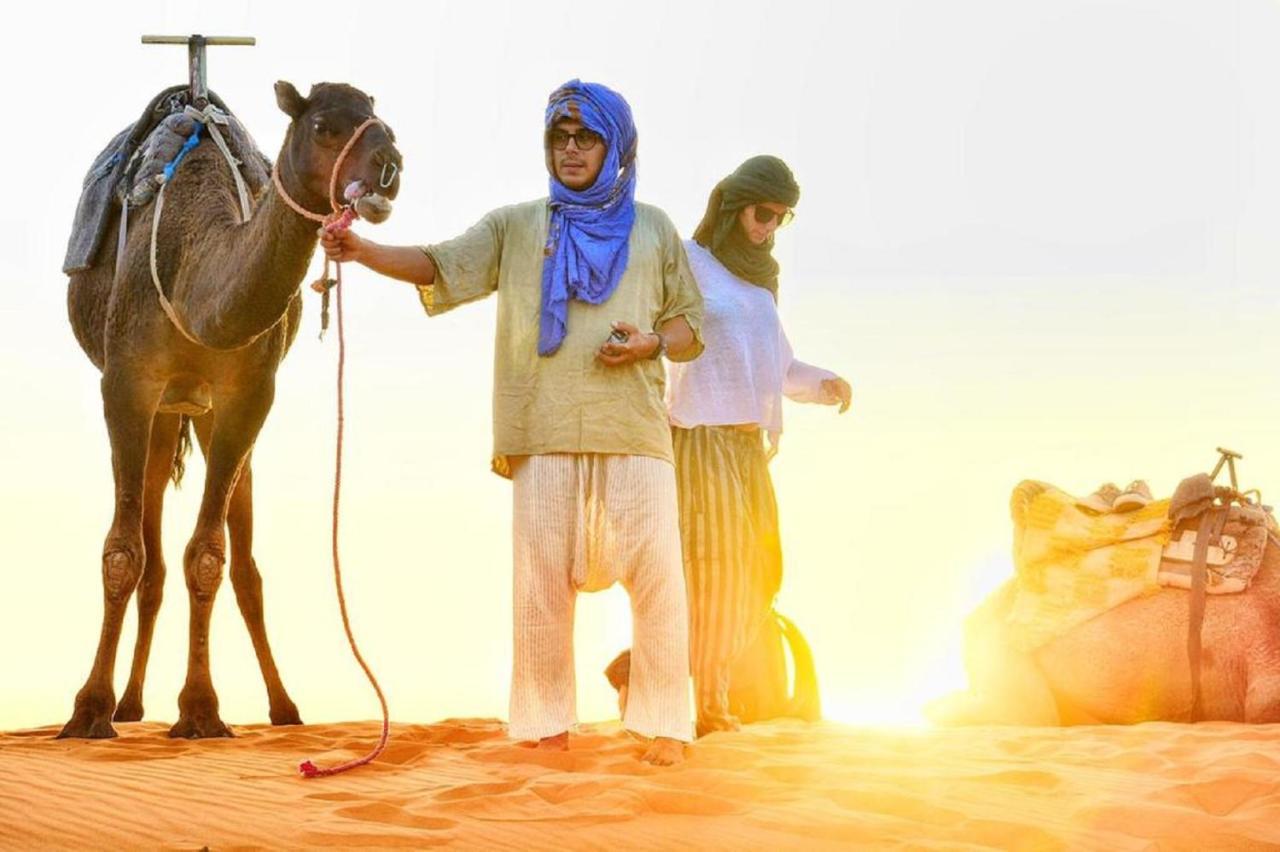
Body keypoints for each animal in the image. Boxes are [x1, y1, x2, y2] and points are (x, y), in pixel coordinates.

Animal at [58, 81, 399, 736]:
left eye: (384, 124)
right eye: (323, 126)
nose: (390, 168)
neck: (194, 278)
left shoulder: (249, 393)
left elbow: (209, 556)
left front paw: (200, 710)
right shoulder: (126, 383)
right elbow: (123, 552)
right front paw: (88, 710)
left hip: (208, 416)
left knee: (241, 566)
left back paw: (282, 707)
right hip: (165, 413)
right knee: (150, 554)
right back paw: (127, 704)